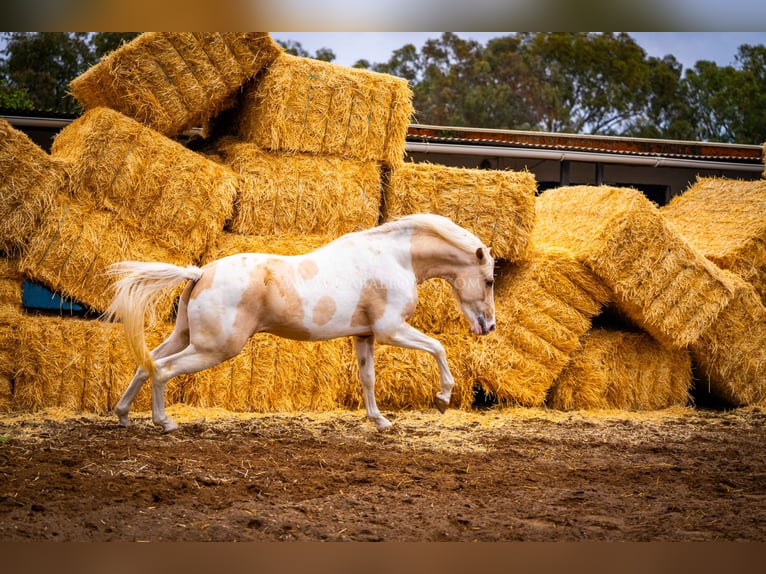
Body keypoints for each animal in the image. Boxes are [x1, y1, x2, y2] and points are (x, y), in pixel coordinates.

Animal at [105, 214, 498, 434]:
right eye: (490, 280)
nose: (489, 327)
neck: (395, 258)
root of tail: (200, 273)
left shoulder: (366, 335)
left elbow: (367, 379)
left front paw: (380, 421)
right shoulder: (391, 330)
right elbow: (439, 348)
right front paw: (443, 398)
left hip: (185, 337)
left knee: (147, 363)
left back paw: (123, 416)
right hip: (213, 348)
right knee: (163, 370)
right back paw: (164, 423)